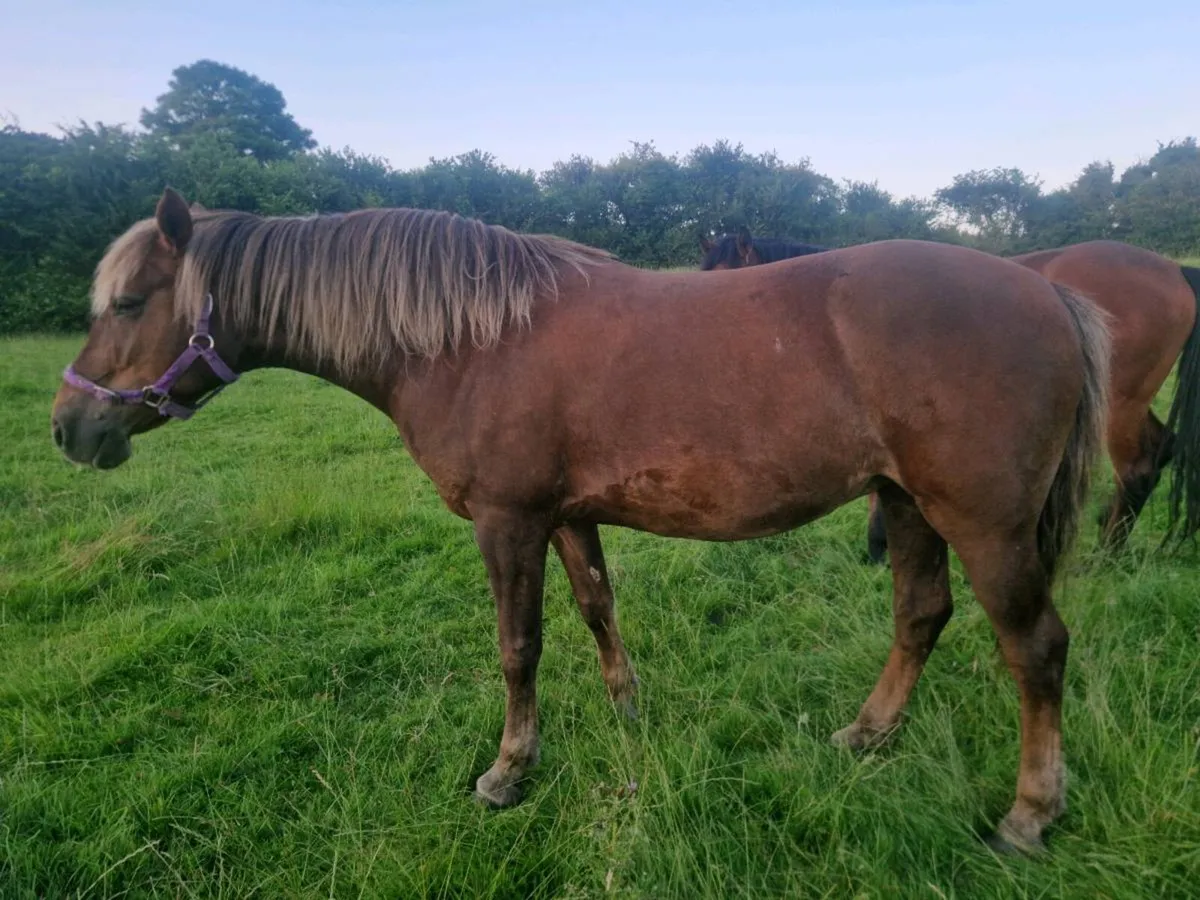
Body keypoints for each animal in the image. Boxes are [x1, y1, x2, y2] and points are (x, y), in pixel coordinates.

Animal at [52, 188, 1110, 853]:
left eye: (132, 301)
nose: (69, 427)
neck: (469, 338)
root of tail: (1049, 291)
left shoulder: (506, 522)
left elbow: (518, 645)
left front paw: (508, 771)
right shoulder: (564, 517)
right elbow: (599, 606)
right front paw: (628, 710)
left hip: (985, 525)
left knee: (1037, 648)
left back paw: (1030, 814)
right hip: (906, 505)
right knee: (920, 614)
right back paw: (867, 735)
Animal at [701, 231, 1200, 562]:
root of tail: (1174, 269)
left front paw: (878, 549)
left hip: (1118, 405)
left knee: (1138, 467)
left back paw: (1104, 556)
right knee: (1163, 449)